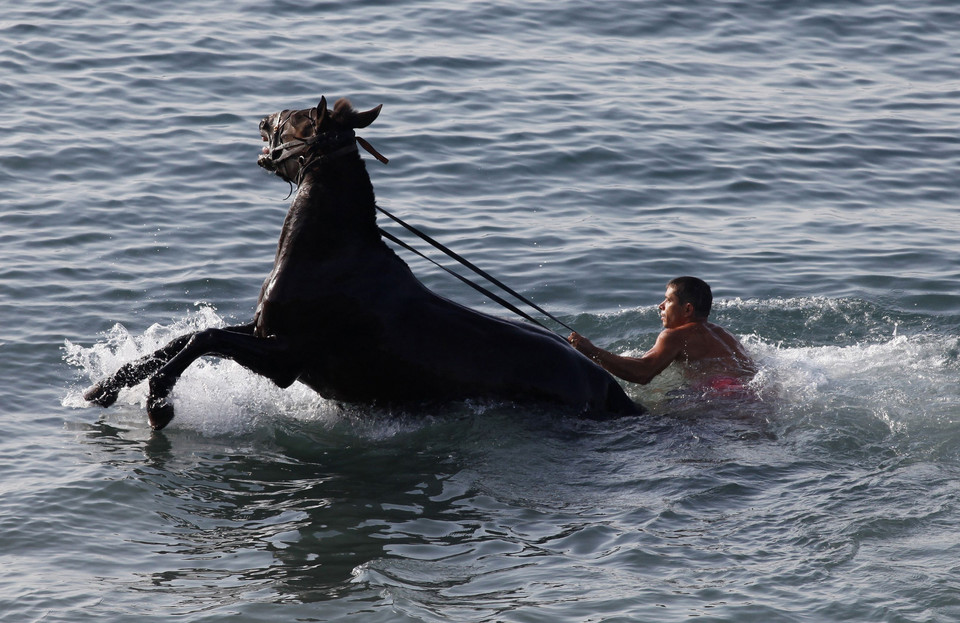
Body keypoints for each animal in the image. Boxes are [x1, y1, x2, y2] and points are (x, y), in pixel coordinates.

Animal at [84, 97, 644, 428]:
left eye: (295, 118)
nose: (261, 120)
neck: (330, 251)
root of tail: (610, 386)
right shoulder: (264, 330)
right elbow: (182, 340)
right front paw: (106, 387)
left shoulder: (284, 357)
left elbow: (203, 339)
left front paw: (159, 403)